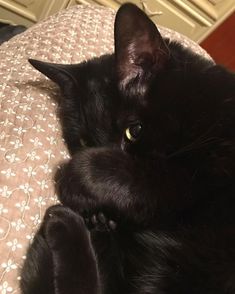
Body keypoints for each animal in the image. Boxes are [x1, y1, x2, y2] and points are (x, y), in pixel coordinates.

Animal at [19, 2, 235, 294]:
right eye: (85, 142)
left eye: (134, 131)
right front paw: (98, 217)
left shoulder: (195, 177)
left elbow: (146, 178)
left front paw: (73, 179)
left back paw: (63, 221)